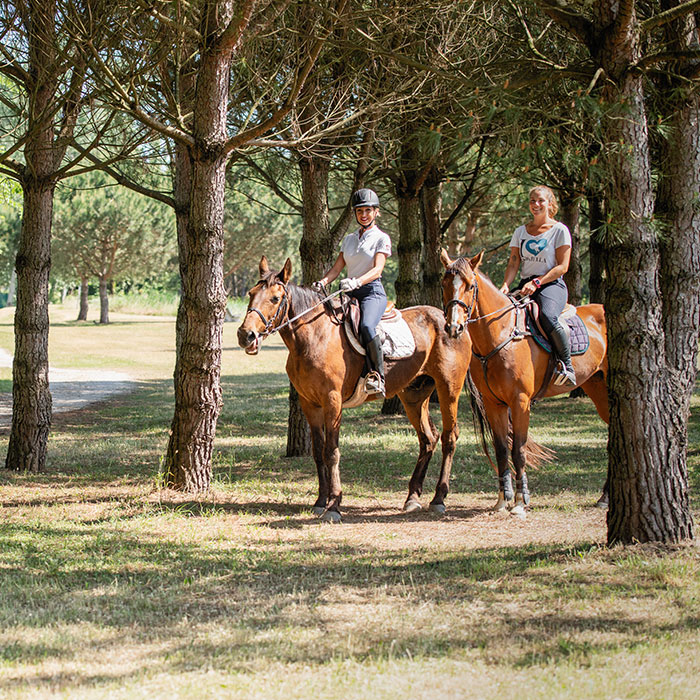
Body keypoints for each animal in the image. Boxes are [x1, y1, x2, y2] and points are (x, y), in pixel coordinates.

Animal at [238, 256, 474, 520]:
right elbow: (318, 451)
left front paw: (334, 505)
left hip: (448, 389)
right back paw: (412, 498)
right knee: (428, 438)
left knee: (449, 437)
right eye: (251, 293)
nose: (245, 335)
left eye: (275, 298)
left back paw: (439, 498)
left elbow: (332, 451)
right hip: (414, 395)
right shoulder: (310, 403)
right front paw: (320, 501)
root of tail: (452, 322)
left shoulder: (332, 402)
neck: (315, 336)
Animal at [440, 249, 608, 516]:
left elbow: (518, 449)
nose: (453, 327)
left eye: (470, 286)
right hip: (598, 388)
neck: (501, 334)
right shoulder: (494, 404)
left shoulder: (520, 402)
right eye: (444, 283)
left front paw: (520, 501)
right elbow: (501, 449)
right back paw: (604, 497)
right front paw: (502, 500)